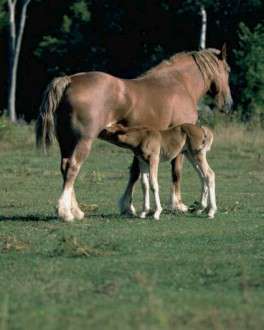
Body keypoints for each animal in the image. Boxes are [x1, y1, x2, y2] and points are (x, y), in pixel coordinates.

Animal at [36, 46, 231, 222]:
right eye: (227, 70)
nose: (228, 103)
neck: (179, 83)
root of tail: (70, 80)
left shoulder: (142, 148)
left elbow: (136, 173)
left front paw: (128, 207)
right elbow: (176, 171)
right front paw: (177, 204)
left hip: (67, 142)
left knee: (65, 167)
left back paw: (76, 211)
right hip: (83, 141)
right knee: (73, 167)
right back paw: (66, 213)